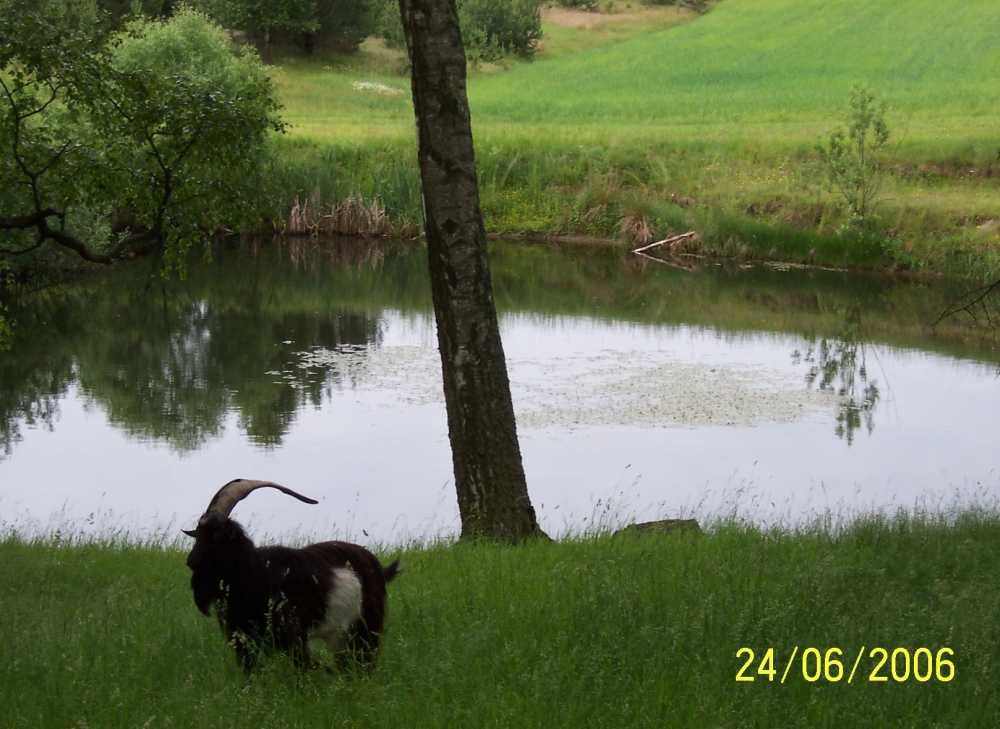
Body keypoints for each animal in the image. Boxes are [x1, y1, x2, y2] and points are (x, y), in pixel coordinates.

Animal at [184, 478, 398, 672]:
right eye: (198, 532)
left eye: (217, 534)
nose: (191, 561)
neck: (257, 572)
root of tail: (377, 566)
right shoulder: (242, 639)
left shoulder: (292, 635)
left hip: (366, 625)